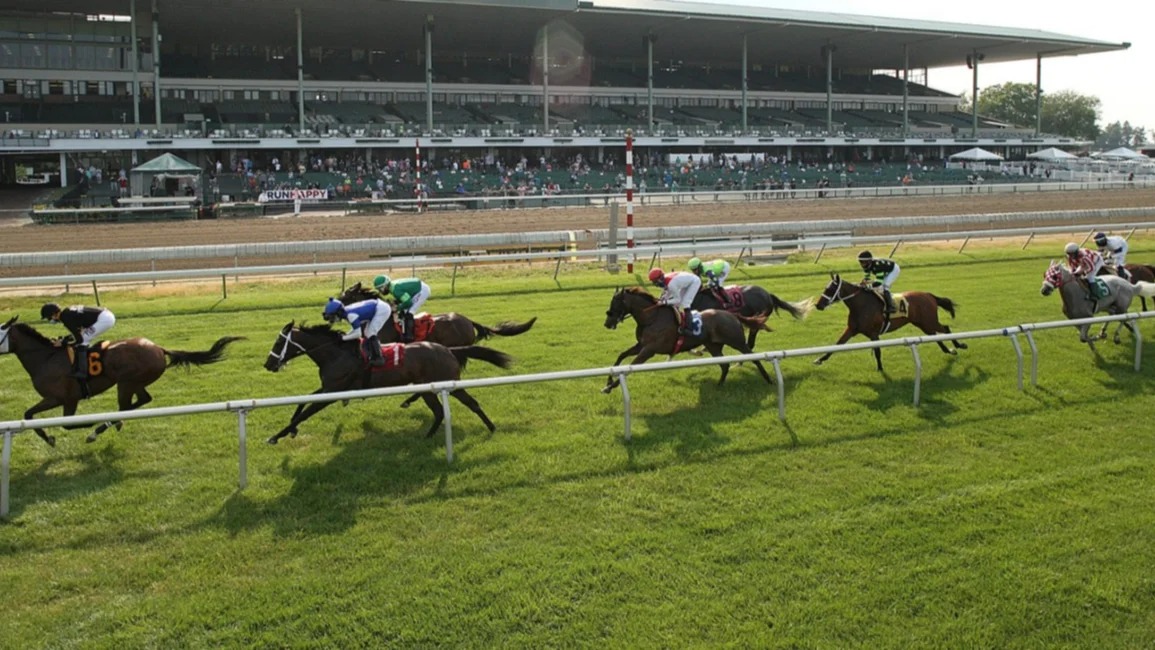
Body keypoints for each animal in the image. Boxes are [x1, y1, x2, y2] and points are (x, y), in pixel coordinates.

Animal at [0, 316, 243, 447]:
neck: (46, 357)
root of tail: (159, 348)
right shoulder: (58, 399)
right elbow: (29, 415)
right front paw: (49, 438)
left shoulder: (63, 398)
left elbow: (65, 423)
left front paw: (80, 428)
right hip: (135, 382)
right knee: (141, 400)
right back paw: (115, 423)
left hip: (126, 383)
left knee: (126, 405)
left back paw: (99, 429)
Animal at [264, 318, 517, 443]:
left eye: (279, 342)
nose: (268, 364)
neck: (336, 353)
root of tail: (448, 350)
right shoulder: (329, 387)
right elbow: (301, 402)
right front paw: (291, 430)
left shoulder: (333, 392)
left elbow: (306, 411)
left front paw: (277, 436)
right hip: (428, 388)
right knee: (439, 411)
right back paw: (428, 436)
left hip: (448, 384)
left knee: (469, 403)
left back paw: (490, 427)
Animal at [595, 286, 776, 392]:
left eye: (616, 303)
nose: (607, 323)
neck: (651, 318)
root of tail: (732, 314)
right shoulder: (641, 345)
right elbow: (621, 356)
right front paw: (608, 382)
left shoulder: (649, 350)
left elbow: (629, 367)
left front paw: (610, 386)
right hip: (713, 346)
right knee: (724, 365)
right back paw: (719, 385)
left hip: (736, 341)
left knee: (753, 357)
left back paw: (768, 379)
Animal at [813, 273, 965, 374]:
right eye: (825, 288)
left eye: (830, 290)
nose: (818, 305)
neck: (861, 305)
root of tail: (929, 295)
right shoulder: (851, 329)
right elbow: (837, 345)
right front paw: (820, 359)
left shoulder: (874, 334)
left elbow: (877, 351)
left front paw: (880, 368)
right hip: (923, 324)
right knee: (935, 335)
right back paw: (949, 350)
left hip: (929, 321)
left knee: (945, 328)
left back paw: (959, 345)